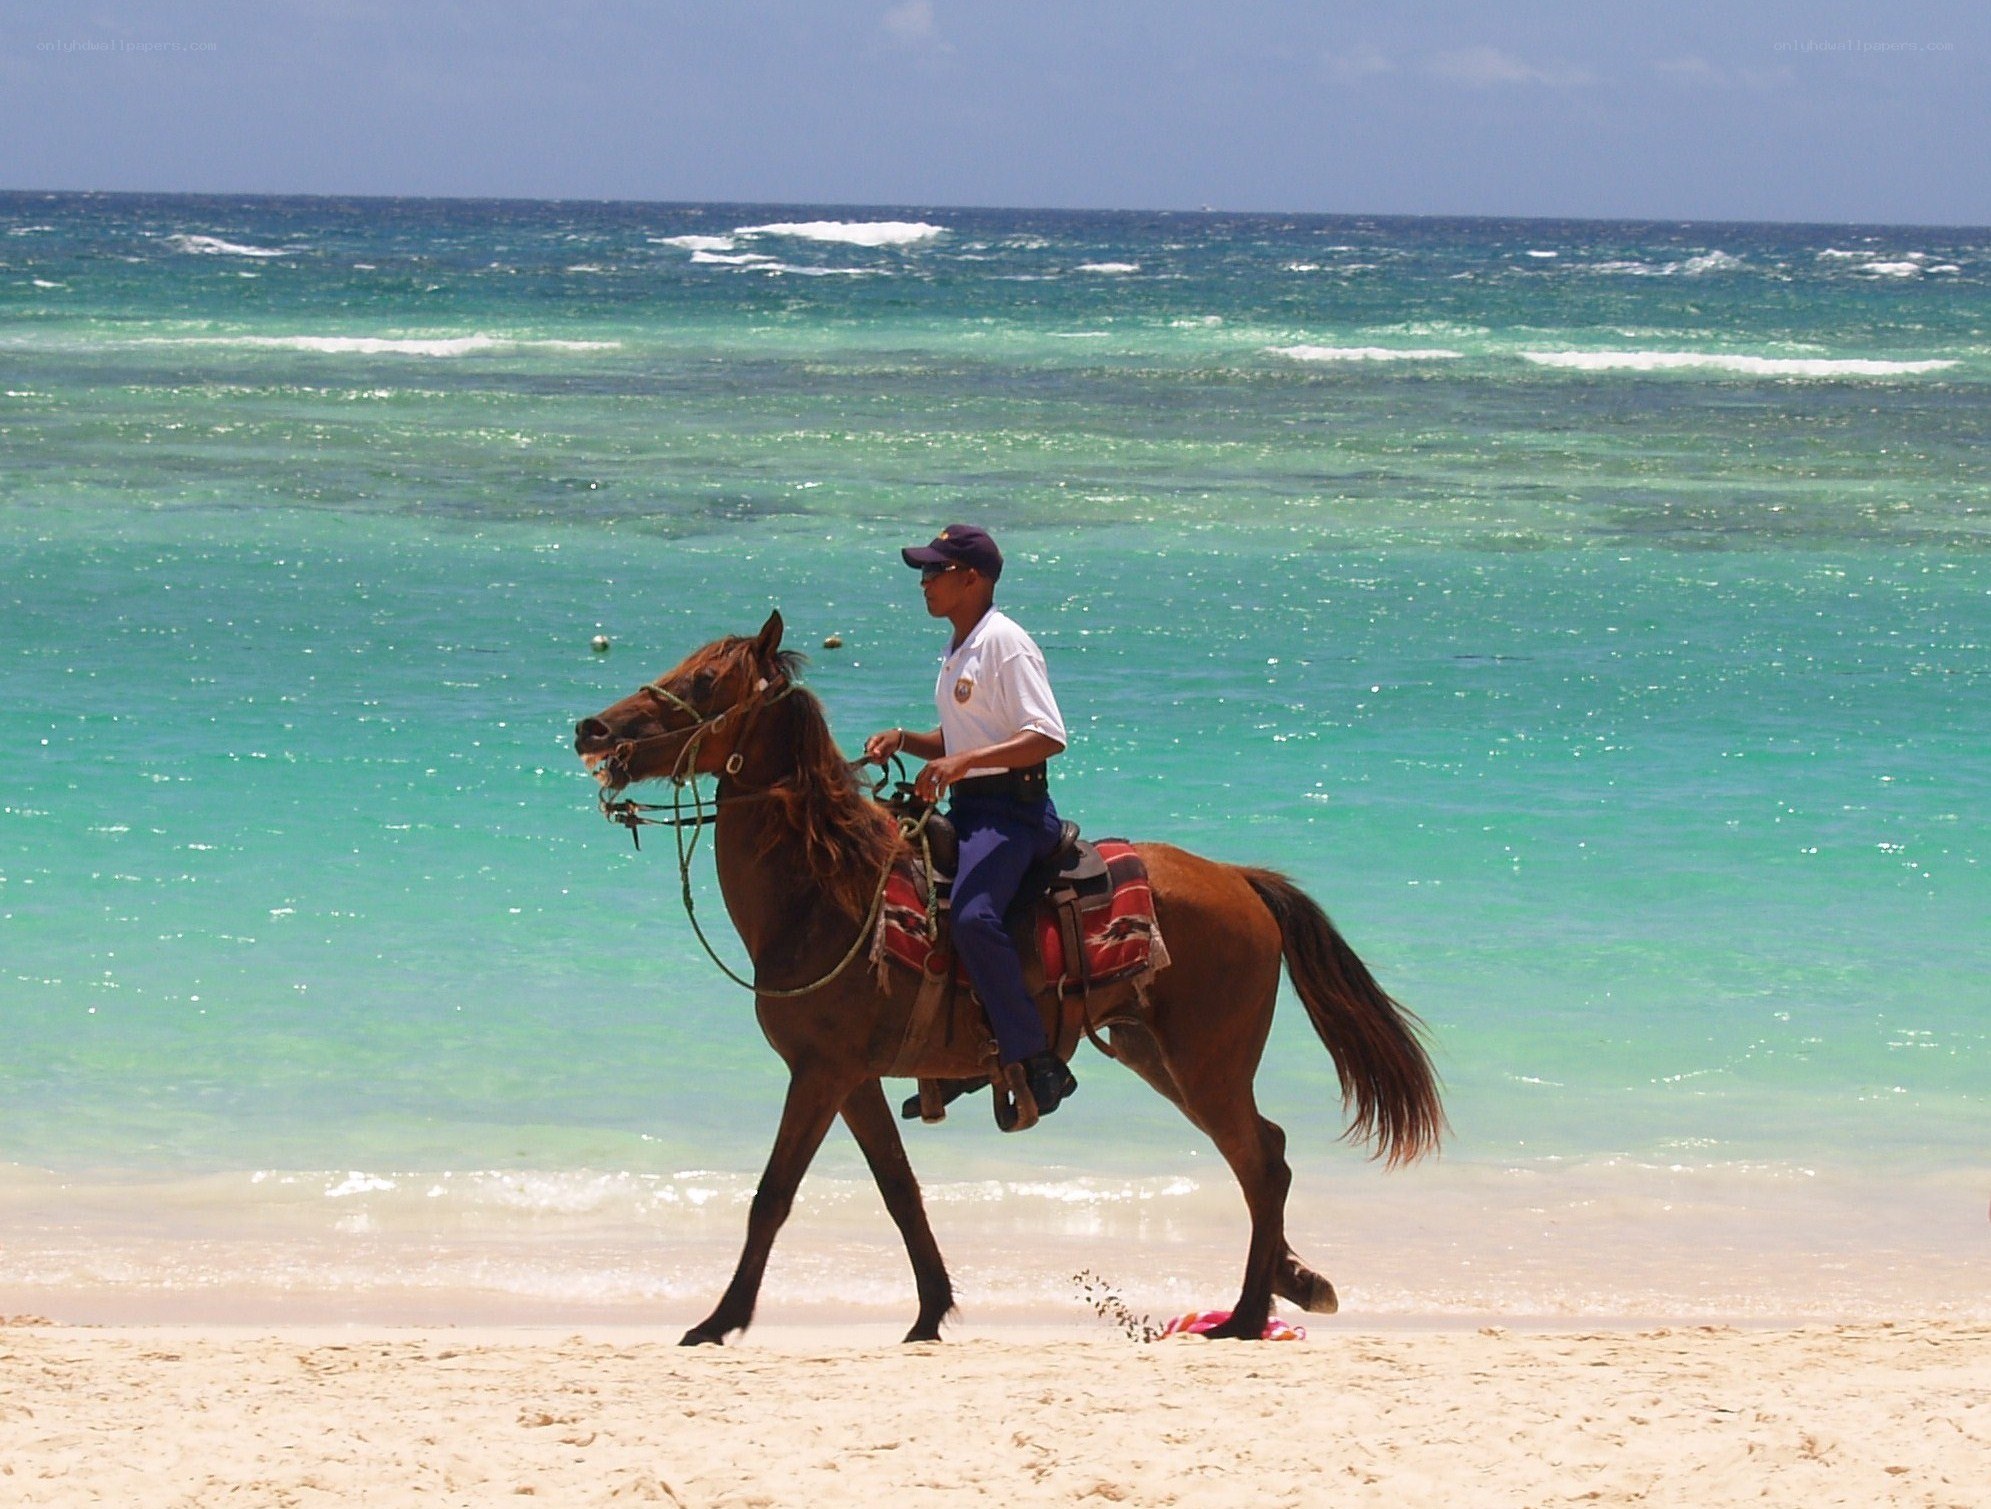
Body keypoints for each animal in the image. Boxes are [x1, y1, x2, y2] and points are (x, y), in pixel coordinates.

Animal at [573, 611, 1443, 1344]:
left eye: (702, 681)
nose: (593, 728)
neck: (827, 892)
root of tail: (1239, 878)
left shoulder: (821, 1071)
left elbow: (771, 1196)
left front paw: (717, 1321)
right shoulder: (854, 1078)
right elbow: (900, 1191)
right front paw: (929, 1312)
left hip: (1205, 1061)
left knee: (1261, 1163)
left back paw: (1247, 1315)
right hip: (1158, 1055)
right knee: (1264, 1153)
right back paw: (1293, 1283)